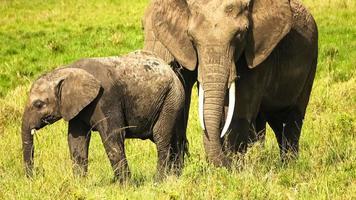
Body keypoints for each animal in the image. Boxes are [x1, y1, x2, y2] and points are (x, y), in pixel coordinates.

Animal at [20, 50, 186, 181]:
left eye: (39, 104)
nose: (35, 175)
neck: (67, 70)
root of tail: (171, 70)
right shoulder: (77, 107)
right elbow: (76, 140)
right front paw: (80, 184)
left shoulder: (106, 99)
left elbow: (112, 137)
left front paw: (126, 185)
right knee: (173, 139)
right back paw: (175, 177)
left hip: (171, 97)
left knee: (161, 137)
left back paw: (159, 180)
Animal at [143, 0, 318, 166]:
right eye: (191, 38)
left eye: (240, 35)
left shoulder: (256, 53)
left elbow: (239, 112)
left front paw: (233, 168)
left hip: (311, 61)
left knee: (290, 118)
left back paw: (288, 166)